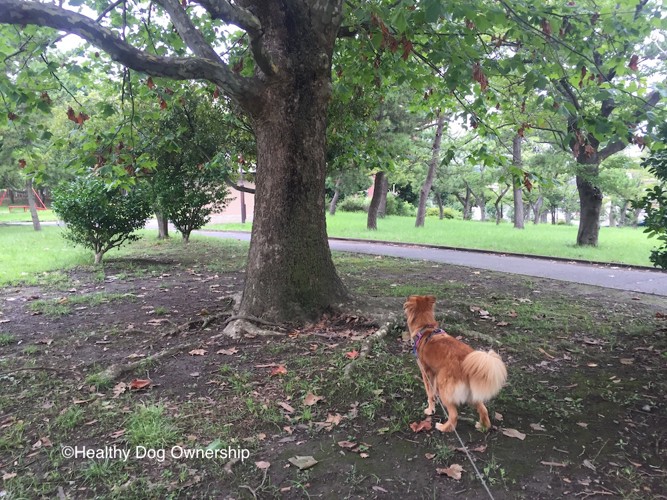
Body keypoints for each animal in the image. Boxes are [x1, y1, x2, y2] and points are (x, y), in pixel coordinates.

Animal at [404, 294, 508, 432]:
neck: (426, 328)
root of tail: (466, 364)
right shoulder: (434, 373)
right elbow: (433, 391)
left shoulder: (426, 372)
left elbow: (429, 394)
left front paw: (430, 409)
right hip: (471, 394)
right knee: (484, 410)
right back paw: (482, 426)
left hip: (445, 388)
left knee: (454, 415)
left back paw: (443, 427)